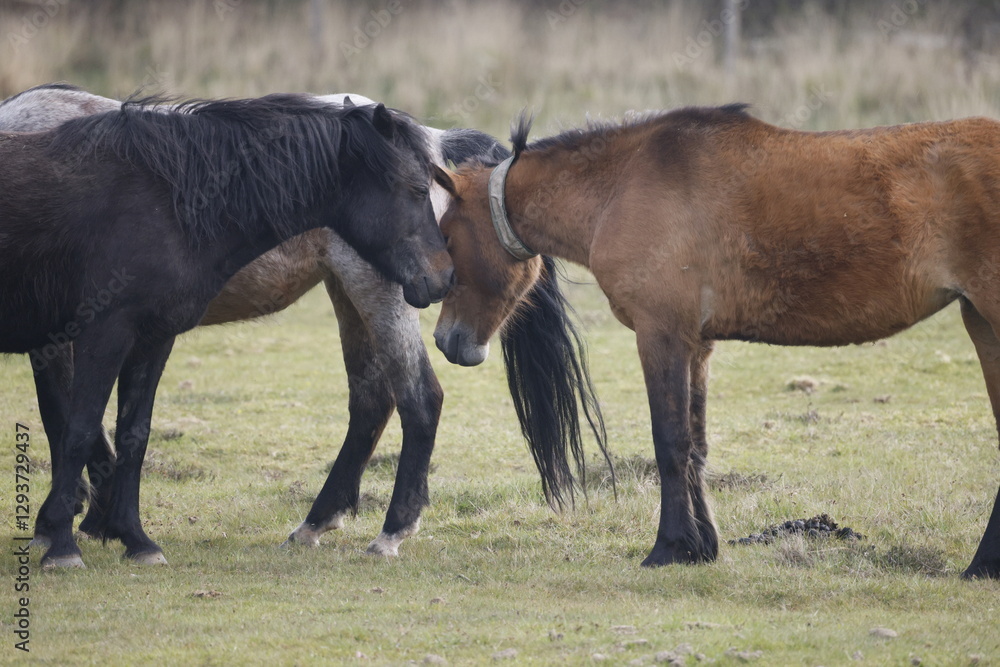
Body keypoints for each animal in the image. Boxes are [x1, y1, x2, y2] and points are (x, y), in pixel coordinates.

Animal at [0, 84, 605, 560]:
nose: (442, 275)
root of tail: (439, 143)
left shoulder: (78, 334)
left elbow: (70, 422)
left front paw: (69, 525)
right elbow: (93, 424)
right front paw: (93, 520)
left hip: (378, 292)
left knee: (418, 397)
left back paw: (392, 530)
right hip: (351, 292)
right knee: (372, 402)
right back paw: (319, 520)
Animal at [431, 104, 1000, 579]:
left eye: (449, 238)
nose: (443, 339)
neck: (621, 183)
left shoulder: (660, 335)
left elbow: (670, 442)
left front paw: (668, 548)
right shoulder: (696, 345)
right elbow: (696, 446)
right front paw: (701, 546)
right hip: (981, 324)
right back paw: (982, 566)